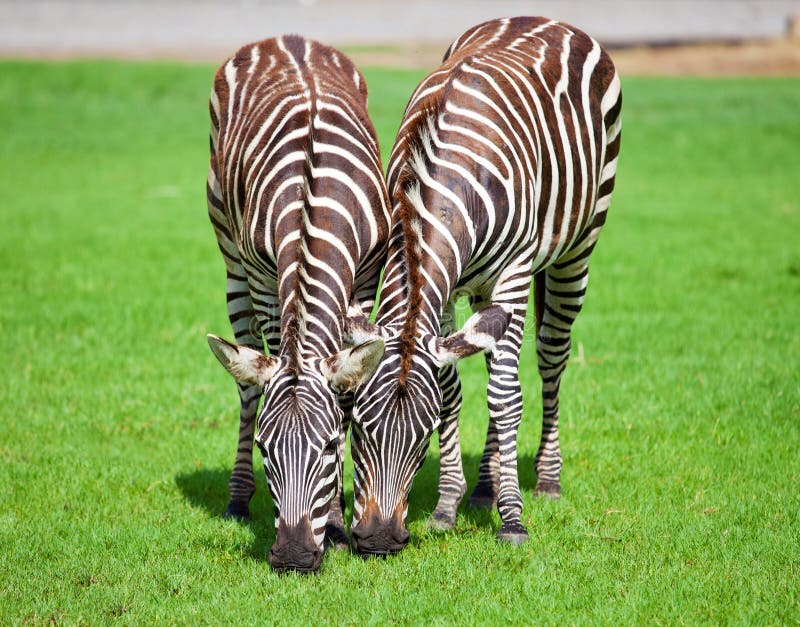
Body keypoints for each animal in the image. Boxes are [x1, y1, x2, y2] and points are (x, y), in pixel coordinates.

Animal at [206, 35, 390, 576]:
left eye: (329, 446)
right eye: (266, 449)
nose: (291, 556)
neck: (315, 208)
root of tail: (284, 39)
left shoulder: (365, 278)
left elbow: (347, 393)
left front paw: (338, 524)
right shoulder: (266, 280)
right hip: (232, 259)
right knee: (247, 386)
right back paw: (237, 499)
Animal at [346, 15, 620, 556]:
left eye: (422, 438)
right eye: (358, 430)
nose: (378, 541)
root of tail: (544, 19)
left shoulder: (513, 272)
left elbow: (506, 397)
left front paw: (512, 519)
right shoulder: (446, 289)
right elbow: (454, 389)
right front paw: (448, 506)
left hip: (577, 247)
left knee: (549, 356)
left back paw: (546, 479)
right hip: (482, 288)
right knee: (495, 358)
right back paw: (485, 487)